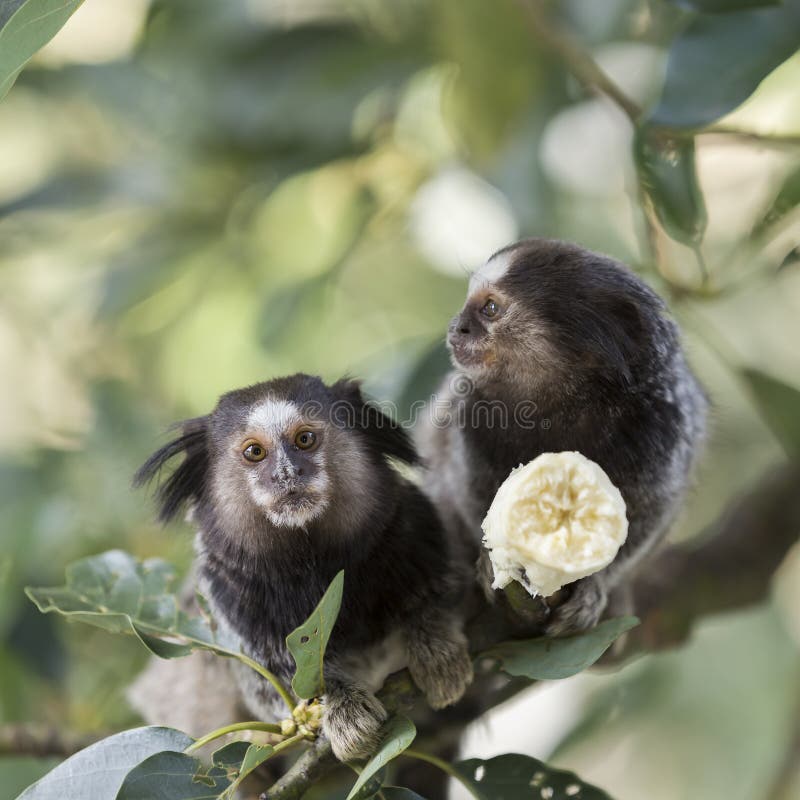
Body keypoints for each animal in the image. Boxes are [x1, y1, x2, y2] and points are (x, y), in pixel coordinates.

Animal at [133, 376, 468, 764]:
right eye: (254, 452)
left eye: (305, 439)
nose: (287, 473)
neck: (313, 562)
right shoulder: (230, 594)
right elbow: (281, 681)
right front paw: (343, 709)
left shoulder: (409, 527)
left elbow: (439, 595)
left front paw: (437, 651)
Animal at [418, 241, 708, 636]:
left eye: (490, 308)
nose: (457, 327)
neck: (568, 403)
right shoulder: (470, 418)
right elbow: (468, 492)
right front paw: (494, 562)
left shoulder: (665, 432)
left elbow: (651, 513)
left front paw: (595, 586)